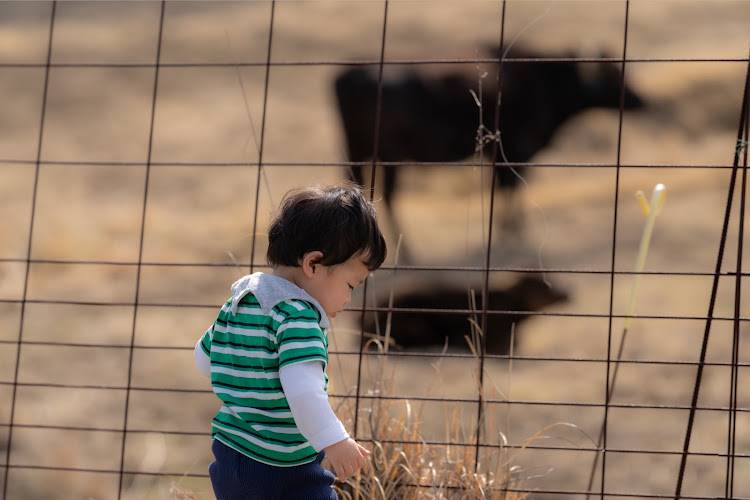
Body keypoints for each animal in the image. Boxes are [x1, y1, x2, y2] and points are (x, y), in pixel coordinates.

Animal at [334, 44, 648, 234]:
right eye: (615, 78)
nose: (640, 100)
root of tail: (348, 74)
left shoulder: (499, 153)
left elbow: (502, 185)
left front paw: (506, 226)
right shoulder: (519, 147)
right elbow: (513, 185)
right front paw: (514, 227)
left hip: (356, 149)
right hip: (389, 154)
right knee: (389, 196)